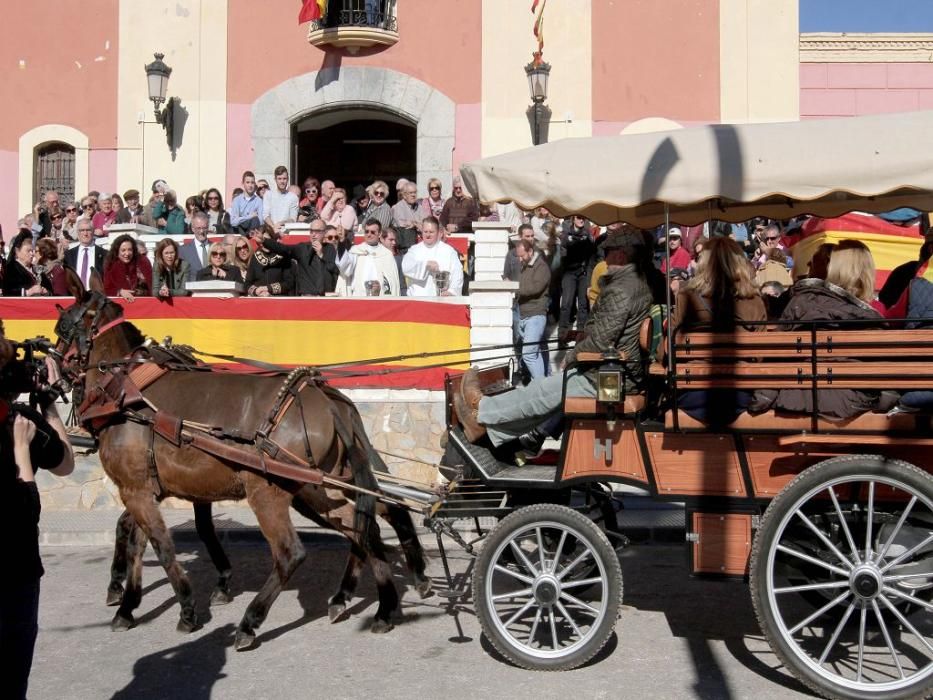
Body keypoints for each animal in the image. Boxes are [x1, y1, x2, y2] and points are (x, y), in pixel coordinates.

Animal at [54, 274, 426, 652]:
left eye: (62, 326)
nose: (53, 370)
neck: (127, 392)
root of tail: (327, 399)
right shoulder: (147, 490)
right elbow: (140, 542)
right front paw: (130, 602)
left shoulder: (136, 490)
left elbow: (160, 545)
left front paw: (184, 608)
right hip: (316, 489)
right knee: (365, 528)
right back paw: (382, 606)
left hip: (270, 492)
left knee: (293, 552)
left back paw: (251, 622)